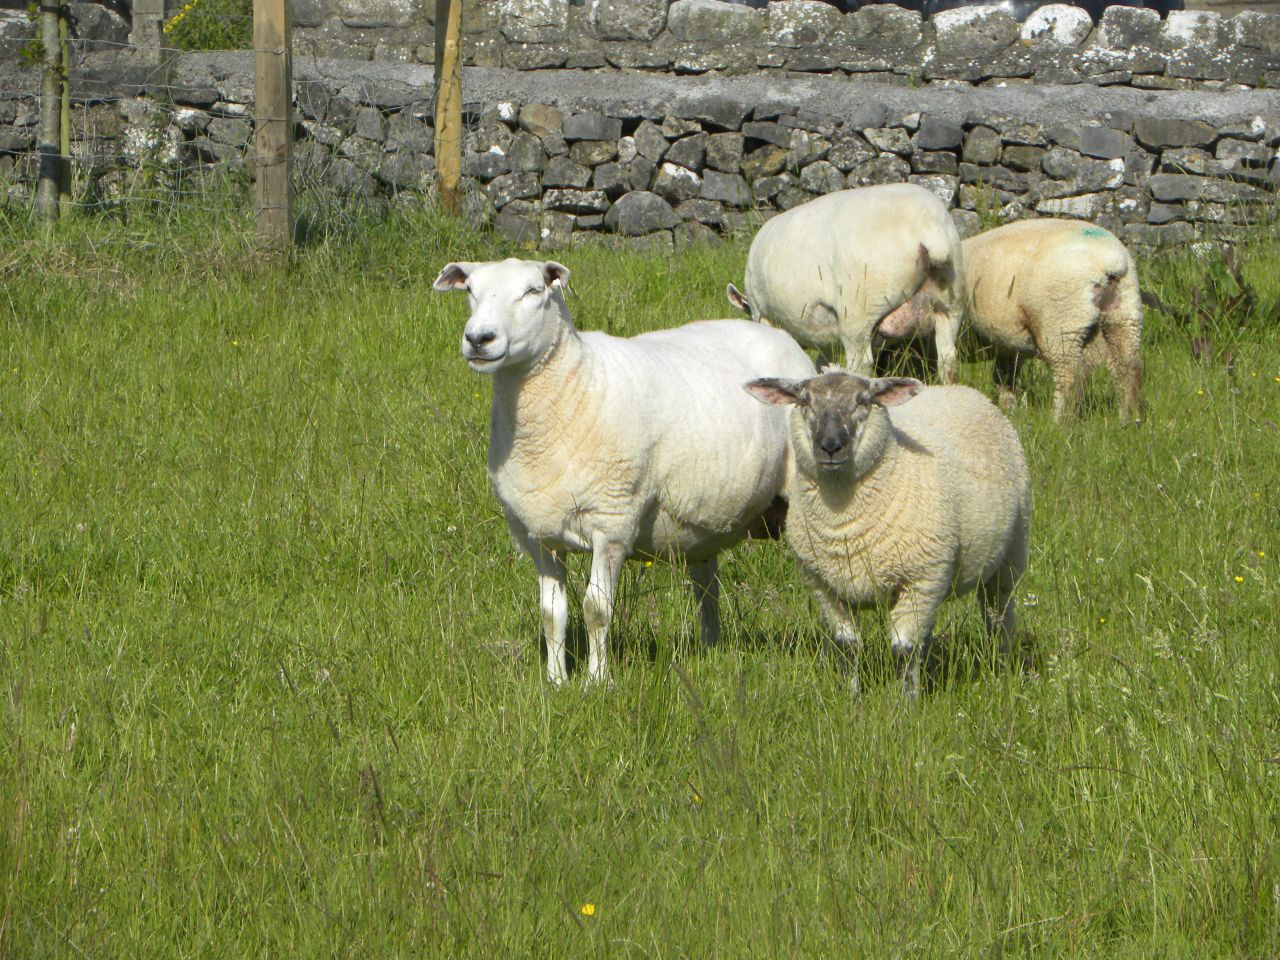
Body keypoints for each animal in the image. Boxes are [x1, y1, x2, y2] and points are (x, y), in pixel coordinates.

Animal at [433, 257, 816, 685]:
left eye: (534, 291)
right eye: (470, 290)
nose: (479, 338)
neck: (571, 389)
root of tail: (776, 334)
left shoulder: (612, 522)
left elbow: (596, 609)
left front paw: (597, 683)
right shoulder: (537, 534)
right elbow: (552, 615)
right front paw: (555, 681)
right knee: (707, 586)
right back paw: (710, 649)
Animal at [726, 184, 965, 384]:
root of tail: (928, 228)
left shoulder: (762, 313)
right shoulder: (823, 334)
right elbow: (824, 362)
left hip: (859, 312)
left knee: (861, 364)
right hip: (950, 303)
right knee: (948, 359)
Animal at [745, 371, 1031, 698]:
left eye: (863, 400)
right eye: (805, 401)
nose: (830, 446)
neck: (843, 523)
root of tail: (965, 390)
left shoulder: (919, 577)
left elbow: (904, 649)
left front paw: (905, 703)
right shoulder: (824, 586)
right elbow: (847, 646)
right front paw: (852, 698)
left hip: (1010, 553)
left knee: (999, 617)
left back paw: (1001, 665)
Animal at [962, 218, 1144, 420]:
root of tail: (1110, 261)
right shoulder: (1009, 343)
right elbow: (1004, 376)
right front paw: (1008, 409)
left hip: (1061, 322)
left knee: (1071, 375)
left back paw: (1058, 420)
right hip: (1124, 314)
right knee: (1127, 366)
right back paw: (1128, 418)